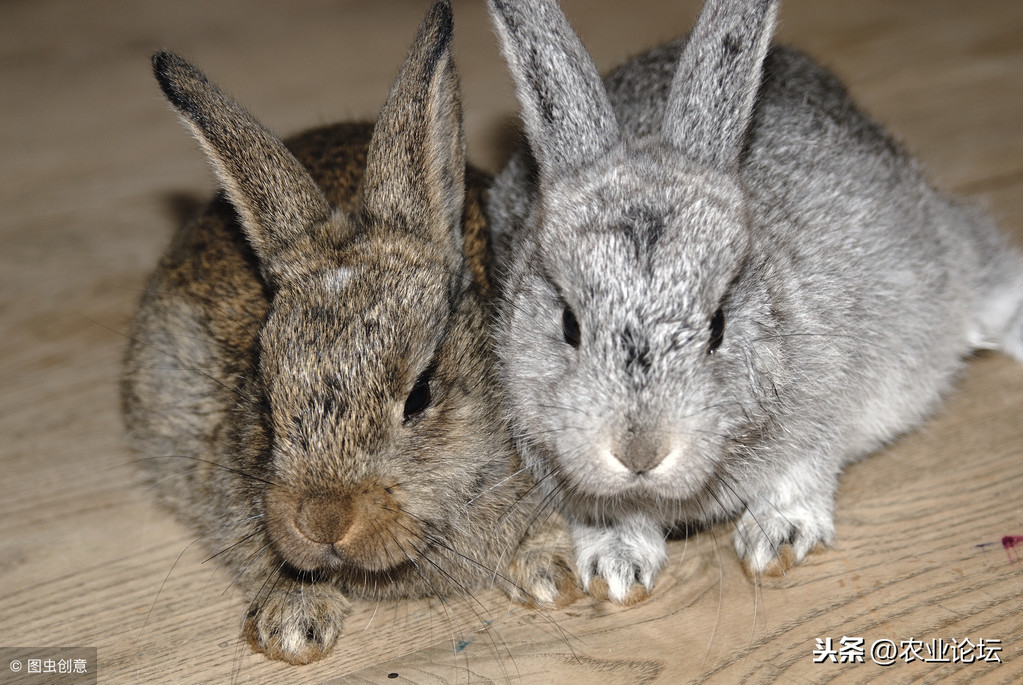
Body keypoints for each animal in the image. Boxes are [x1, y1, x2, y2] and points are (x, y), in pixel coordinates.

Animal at [480, 0, 1023, 605]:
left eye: (718, 325)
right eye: (569, 325)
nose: (640, 452)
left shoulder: (821, 408)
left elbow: (801, 475)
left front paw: (774, 538)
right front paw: (616, 570)